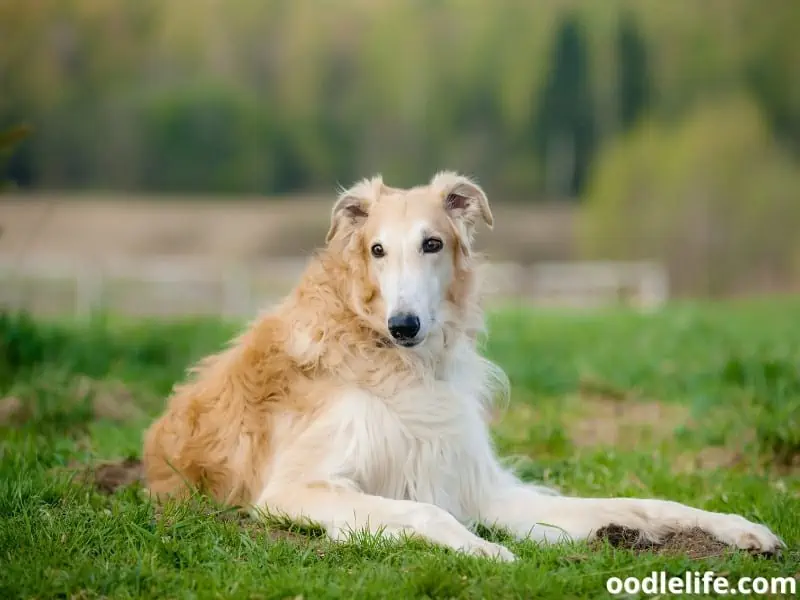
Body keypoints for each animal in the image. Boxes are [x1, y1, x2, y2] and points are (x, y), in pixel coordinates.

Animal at [141, 171, 784, 560]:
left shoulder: (481, 487)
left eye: (433, 243)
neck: (392, 356)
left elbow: (646, 504)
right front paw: (489, 551)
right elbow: (425, 511)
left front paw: (741, 529)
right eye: (377, 249)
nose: (403, 326)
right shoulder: (293, 489)